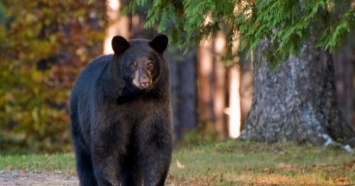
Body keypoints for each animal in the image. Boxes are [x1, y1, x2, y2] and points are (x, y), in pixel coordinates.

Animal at [70, 34, 174, 185]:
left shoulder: (156, 106)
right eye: (133, 64)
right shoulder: (109, 106)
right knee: (84, 158)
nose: (144, 82)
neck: (135, 97)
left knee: (131, 167)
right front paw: (109, 182)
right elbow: (107, 143)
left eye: (150, 63)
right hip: (78, 119)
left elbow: (156, 142)